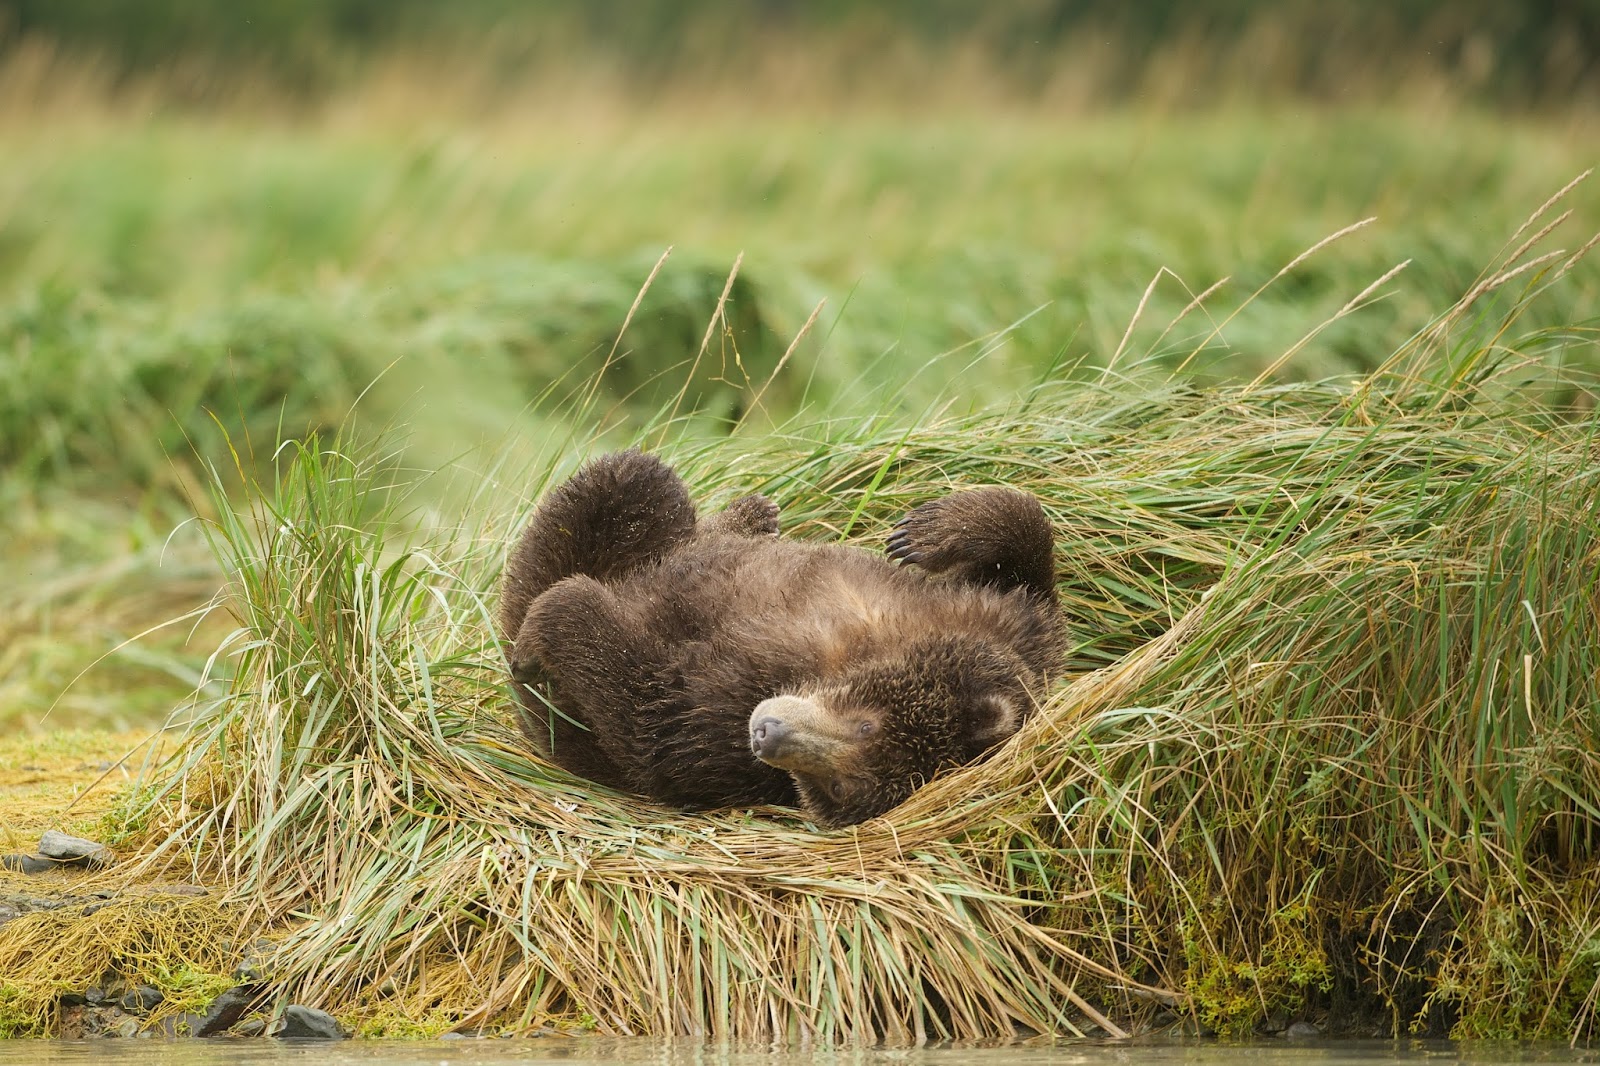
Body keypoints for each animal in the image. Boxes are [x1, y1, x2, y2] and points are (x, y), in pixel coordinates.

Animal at [499, 449, 1064, 826]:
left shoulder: (713, 720)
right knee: (641, 482)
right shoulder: (1003, 620)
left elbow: (643, 703)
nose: (766, 733)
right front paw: (928, 530)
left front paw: (553, 622)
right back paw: (748, 516)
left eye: (838, 785)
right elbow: (1027, 550)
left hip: (556, 712)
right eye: (866, 724)